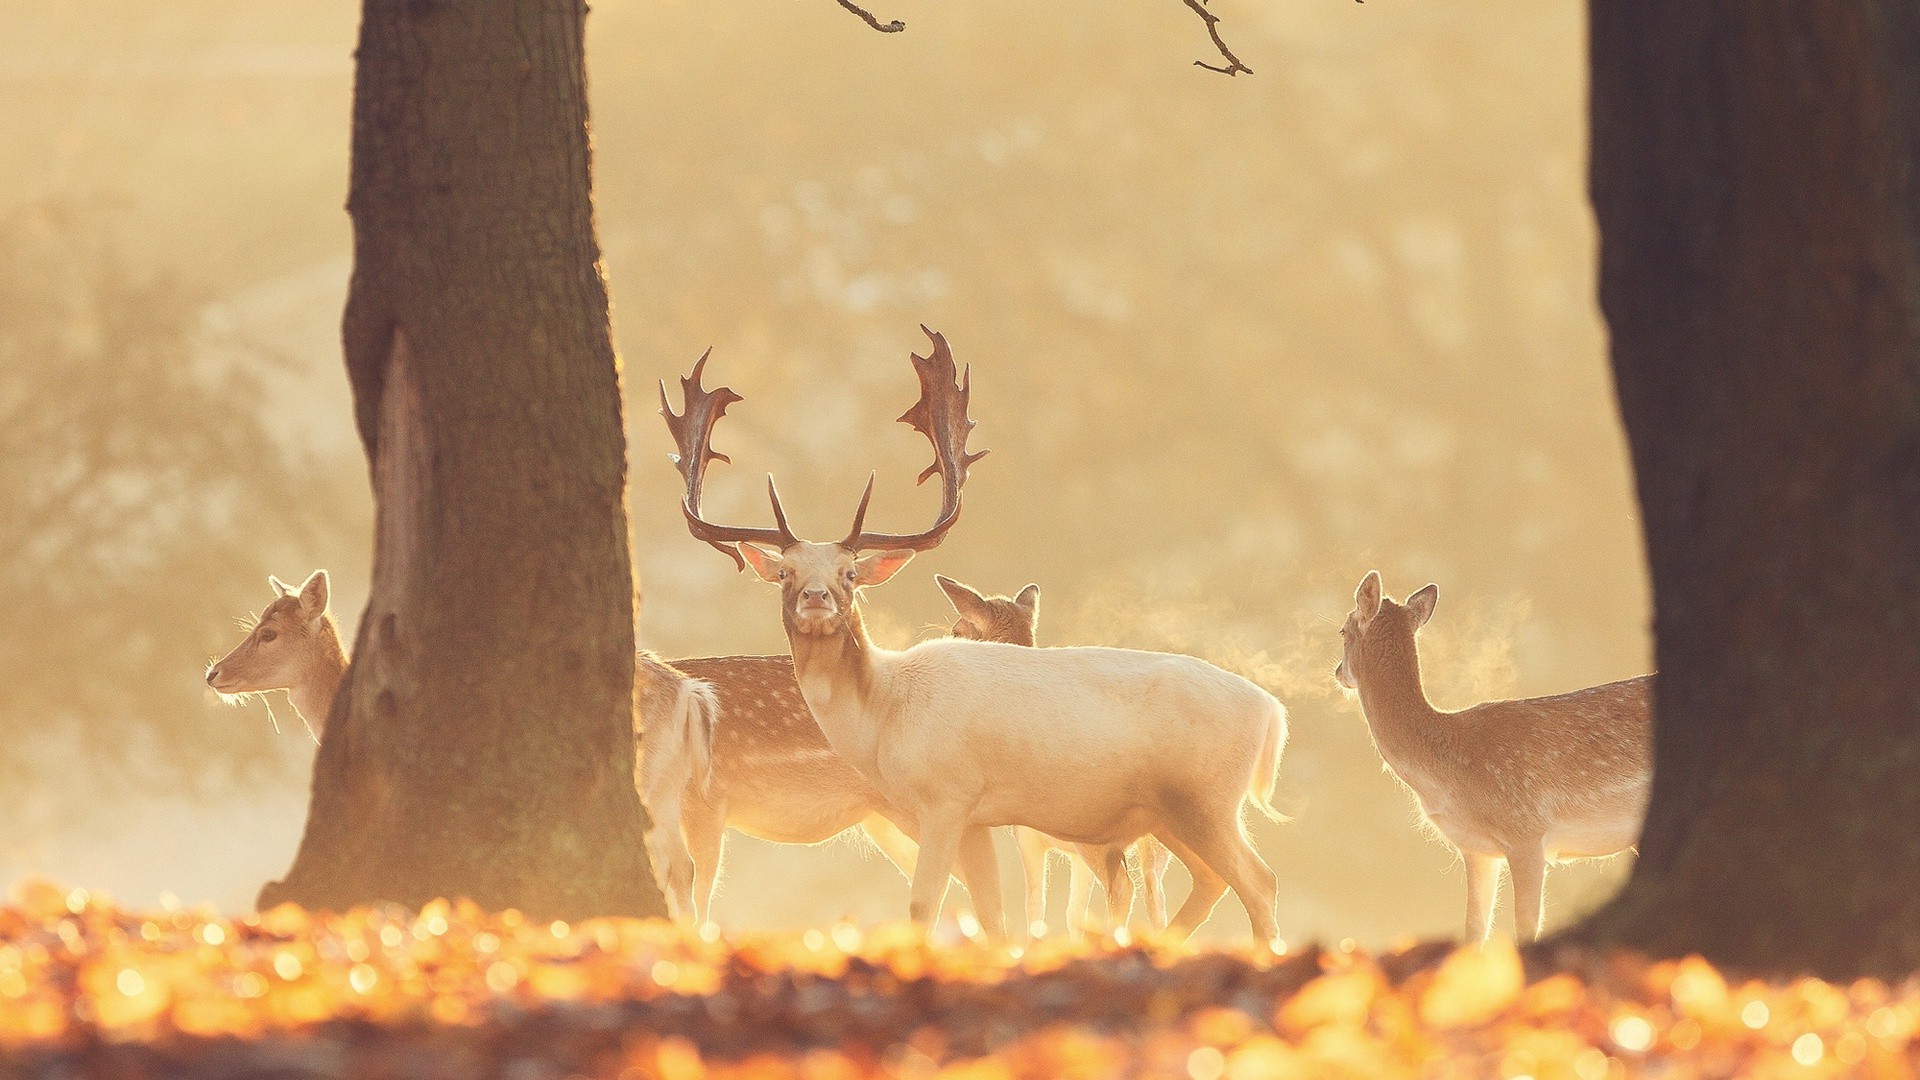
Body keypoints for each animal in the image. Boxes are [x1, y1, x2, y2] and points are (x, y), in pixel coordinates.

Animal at [936, 572, 1175, 933]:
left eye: (958, 630)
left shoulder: (1029, 838)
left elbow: (1035, 905)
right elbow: (1073, 915)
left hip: (1096, 835)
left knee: (1124, 888)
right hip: (1158, 842)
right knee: (1155, 895)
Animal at [1336, 572, 1651, 941]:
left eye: (1342, 630)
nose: (1337, 671)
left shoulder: (1527, 832)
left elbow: (1525, 928)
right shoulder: (1477, 851)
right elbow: (1473, 932)